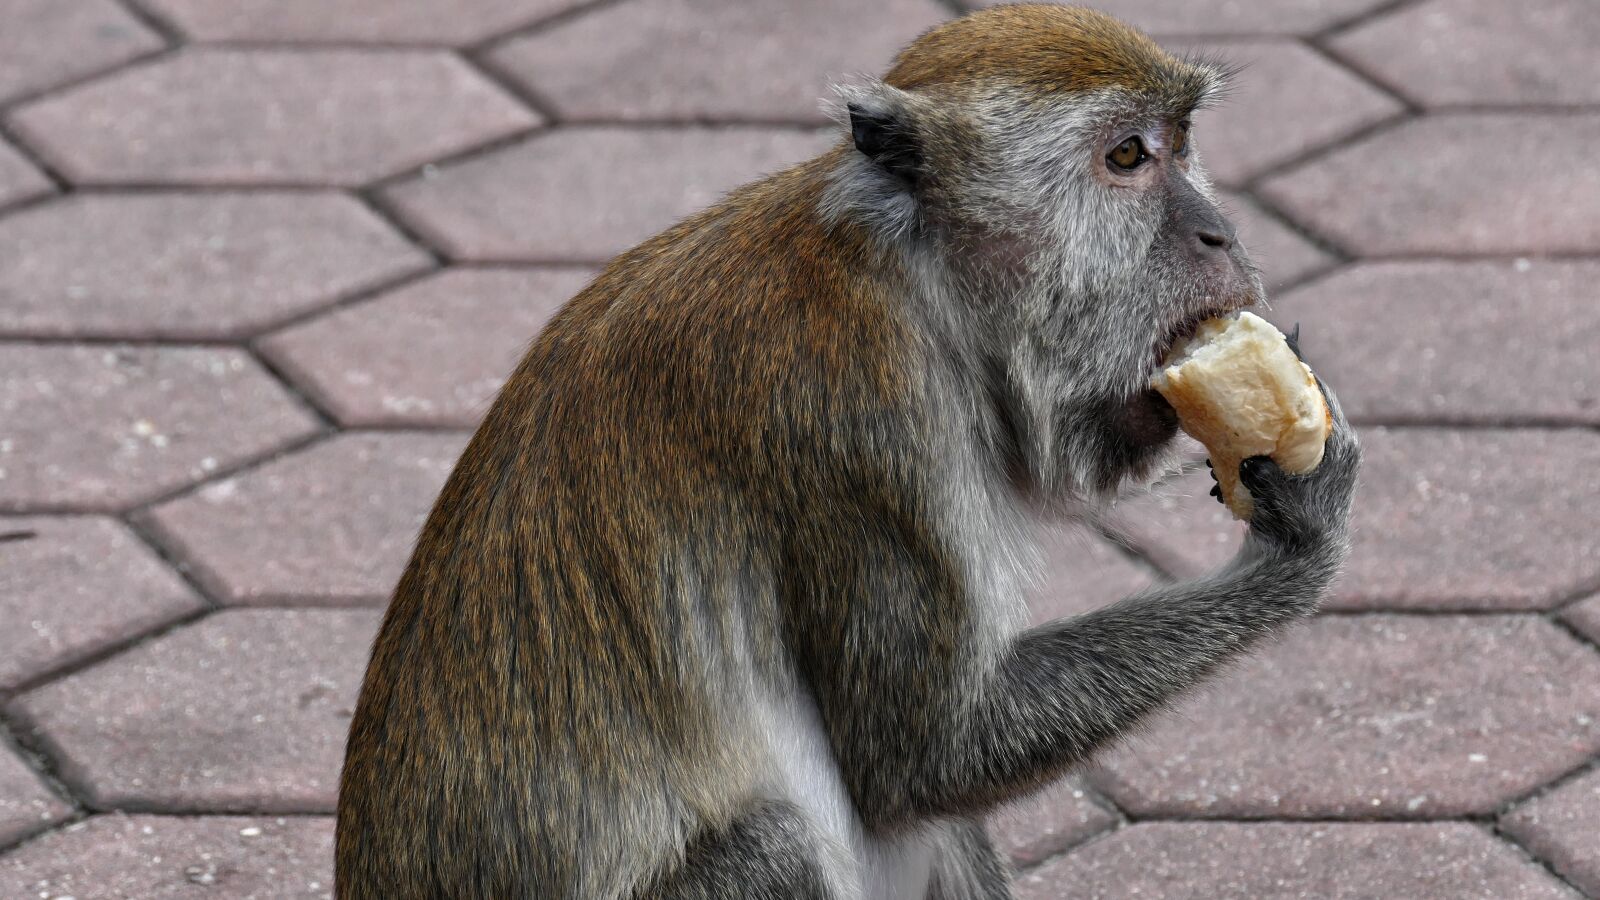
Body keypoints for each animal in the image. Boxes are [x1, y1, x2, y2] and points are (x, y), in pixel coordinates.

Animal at [335, 5, 1360, 899]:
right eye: (1126, 157)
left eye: (1180, 144)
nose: (1220, 232)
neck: (914, 276)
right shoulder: (868, 429)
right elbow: (925, 759)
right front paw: (1295, 548)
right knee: (775, 845)